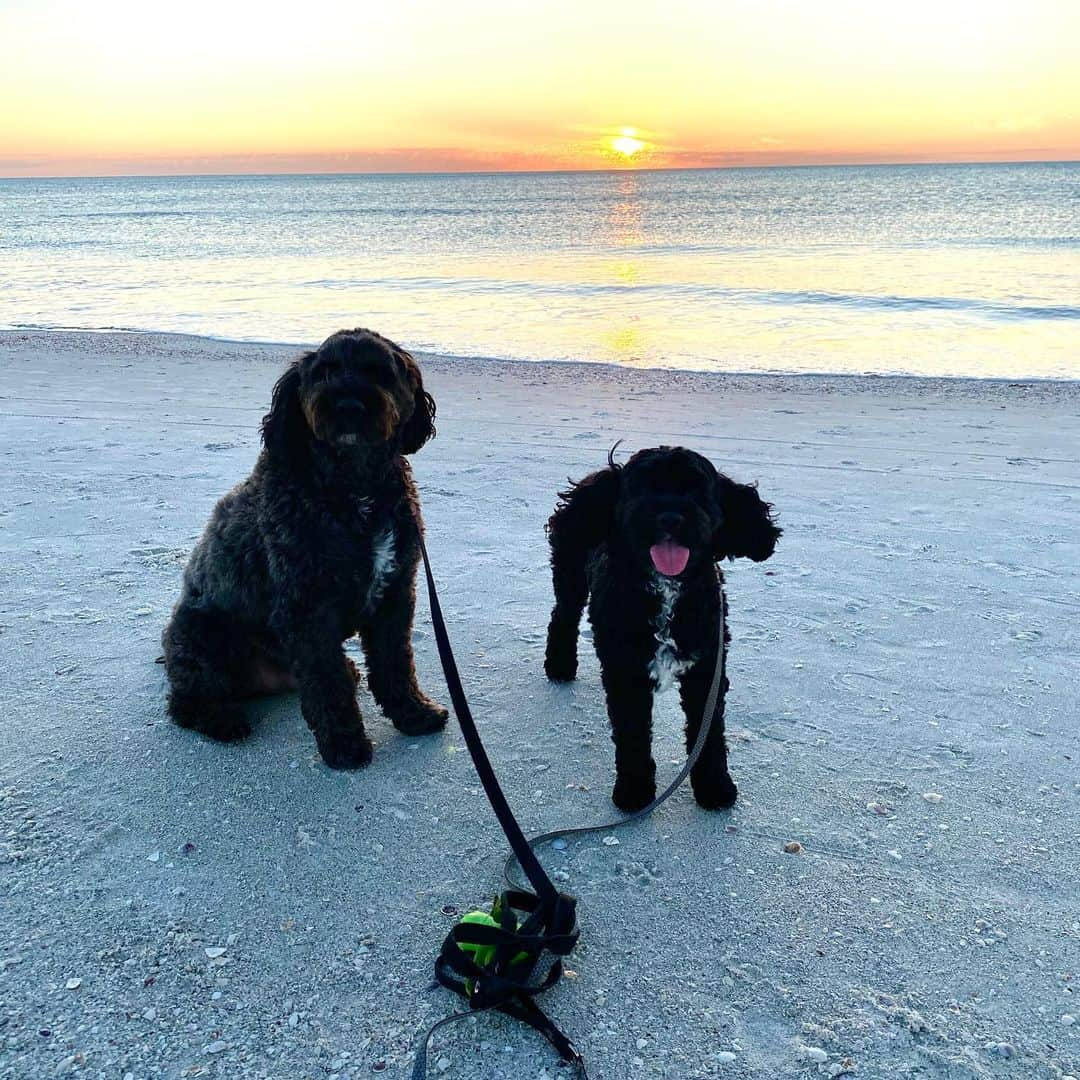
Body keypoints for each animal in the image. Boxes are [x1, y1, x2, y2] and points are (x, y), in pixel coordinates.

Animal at [159, 326, 447, 768]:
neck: (354, 486)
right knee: (186, 700)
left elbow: (395, 664)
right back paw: (222, 719)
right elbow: (327, 685)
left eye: (378, 371)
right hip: (201, 636)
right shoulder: (307, 610)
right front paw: (344, 744)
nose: (347, 404)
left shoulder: (394, 594)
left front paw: (413, 714)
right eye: (323, 372)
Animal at [544, 444, 781, 812]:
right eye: (642, 486)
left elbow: (709, 733)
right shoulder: (626, 673)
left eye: (697, 488)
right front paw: (634, 790)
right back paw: (559, 666)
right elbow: (632, 735)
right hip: (569, 576)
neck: (666, 591)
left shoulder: (707, 669)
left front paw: (714, 786)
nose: (670, 517)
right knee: (563, 617)